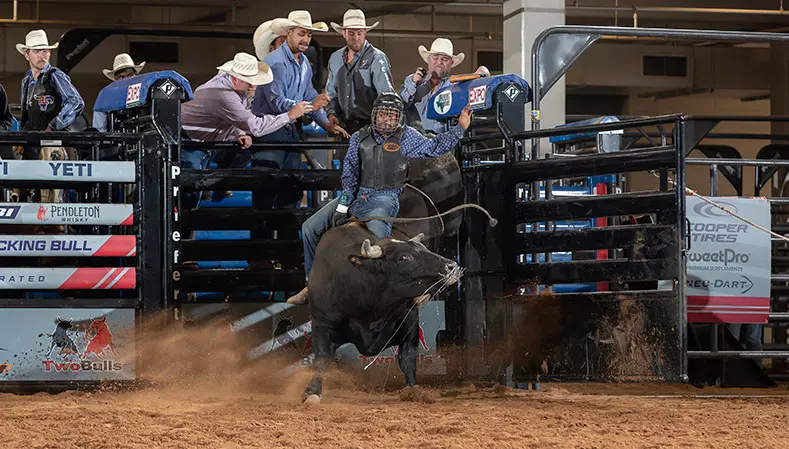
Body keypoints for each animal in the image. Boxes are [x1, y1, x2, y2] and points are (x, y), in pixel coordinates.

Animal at [301, 222, 462, 404]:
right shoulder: (322, 325)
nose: (451, 266)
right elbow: (322, 359)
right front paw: (312, 392)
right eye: (403, 258)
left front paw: (413, 391)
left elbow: (407, 359)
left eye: (424, 248)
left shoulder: (410, 324)